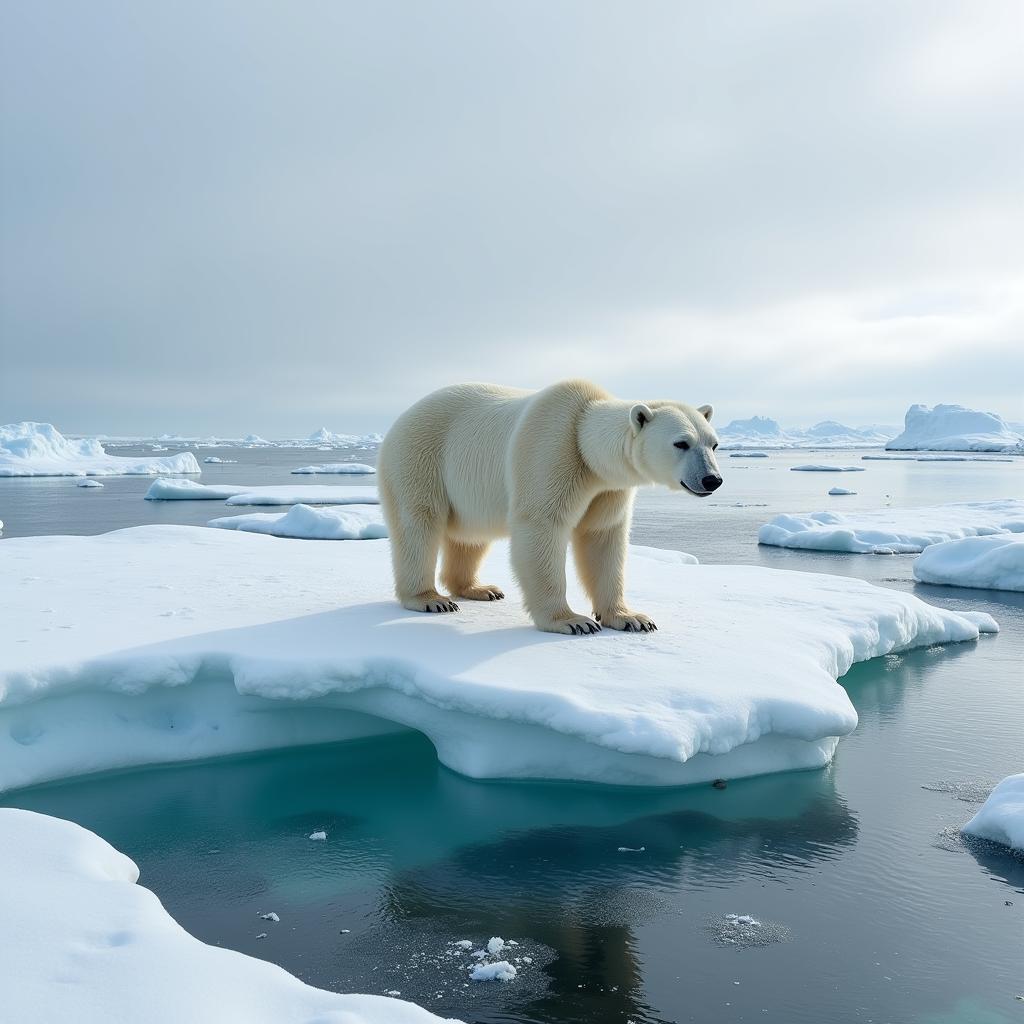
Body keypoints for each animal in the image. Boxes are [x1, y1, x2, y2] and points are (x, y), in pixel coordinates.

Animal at [376, 376, 720, 630]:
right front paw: (573, 621)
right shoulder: (551, 451)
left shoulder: (606, 487)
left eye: (713, 443)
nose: (712, 479)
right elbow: (541, 527)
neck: (583, 435)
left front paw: (631, 619)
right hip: (421, 458)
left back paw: (481, 589)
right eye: (681, 443)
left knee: (471, 536)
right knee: (418, 523)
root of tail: (401, 418)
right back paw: (430, 599)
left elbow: (602, 538)